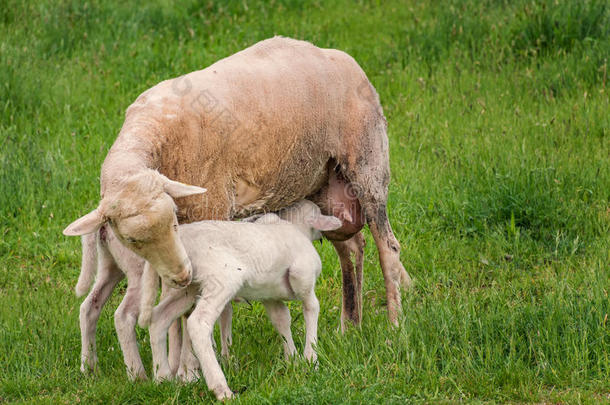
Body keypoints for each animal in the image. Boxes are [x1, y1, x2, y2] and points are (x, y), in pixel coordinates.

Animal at [61, 36, 410, 332]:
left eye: (172, 222)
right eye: (132, 241)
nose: (181, 274)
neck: (154, 132)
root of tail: (340, 56)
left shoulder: (211, 207)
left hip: (368, 163)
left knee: (388, 247)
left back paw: (394, 326)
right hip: (324, 185)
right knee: (352, 246)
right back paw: (350, 325)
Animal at [136, 199, 342, 398]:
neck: (295, 227)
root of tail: (181, 242)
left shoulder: (270, 296)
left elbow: (282, 320)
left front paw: (293, 359)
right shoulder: (304, 277)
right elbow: (312, 309)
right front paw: (311, 360)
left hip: (187, 286)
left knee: (159, 318)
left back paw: (162, 378)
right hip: (222, 278)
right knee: (198, 323)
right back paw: (221, 389)